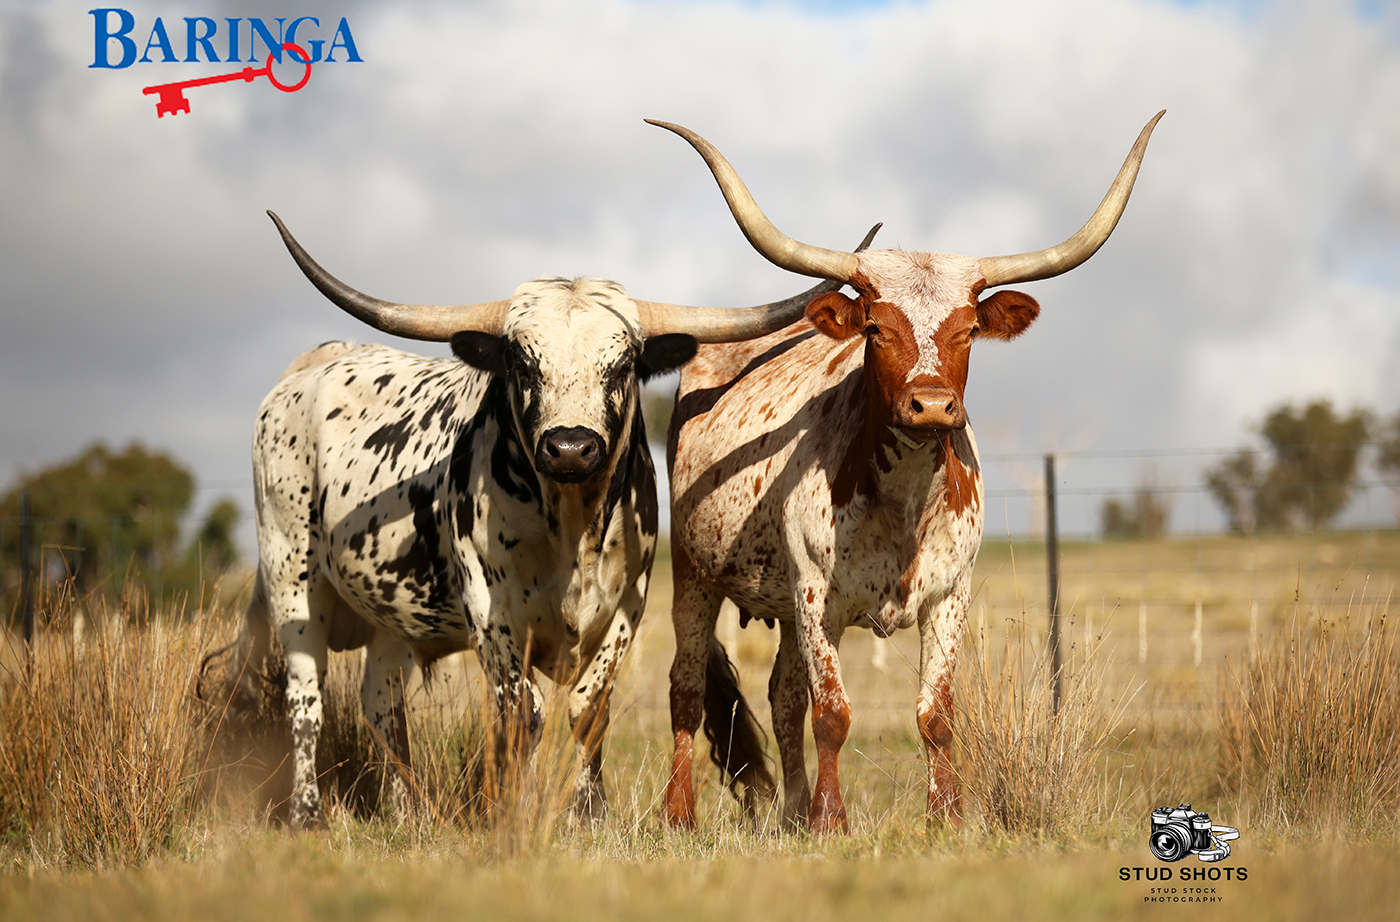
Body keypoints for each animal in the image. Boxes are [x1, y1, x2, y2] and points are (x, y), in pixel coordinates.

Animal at [208, 209, 880, 829]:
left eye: (622, 365)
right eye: (522, 363)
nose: (571, 448)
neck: (571, 531)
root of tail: (311, 366)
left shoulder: (627, 606)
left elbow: (588, 708)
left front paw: (589, 812)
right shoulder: (490, 611)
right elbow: (521, 711)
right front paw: (517, 810)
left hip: (389, 616)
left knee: (382, 703)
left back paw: (408, 813)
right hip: (291, 583)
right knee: (306, 700)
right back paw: (306, 814)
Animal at [653, 113, 1163, 832]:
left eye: (970, 329)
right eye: (875, 326)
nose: (932, 404)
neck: (903, 502)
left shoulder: (951, 595)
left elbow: (934, 714)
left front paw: (944, 815)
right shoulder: (817, 596)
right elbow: (832, 715)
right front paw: (831, 821)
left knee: (782, 696)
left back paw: (789, 813)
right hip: (693, 575)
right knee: (688, 688)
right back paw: (681, 813)